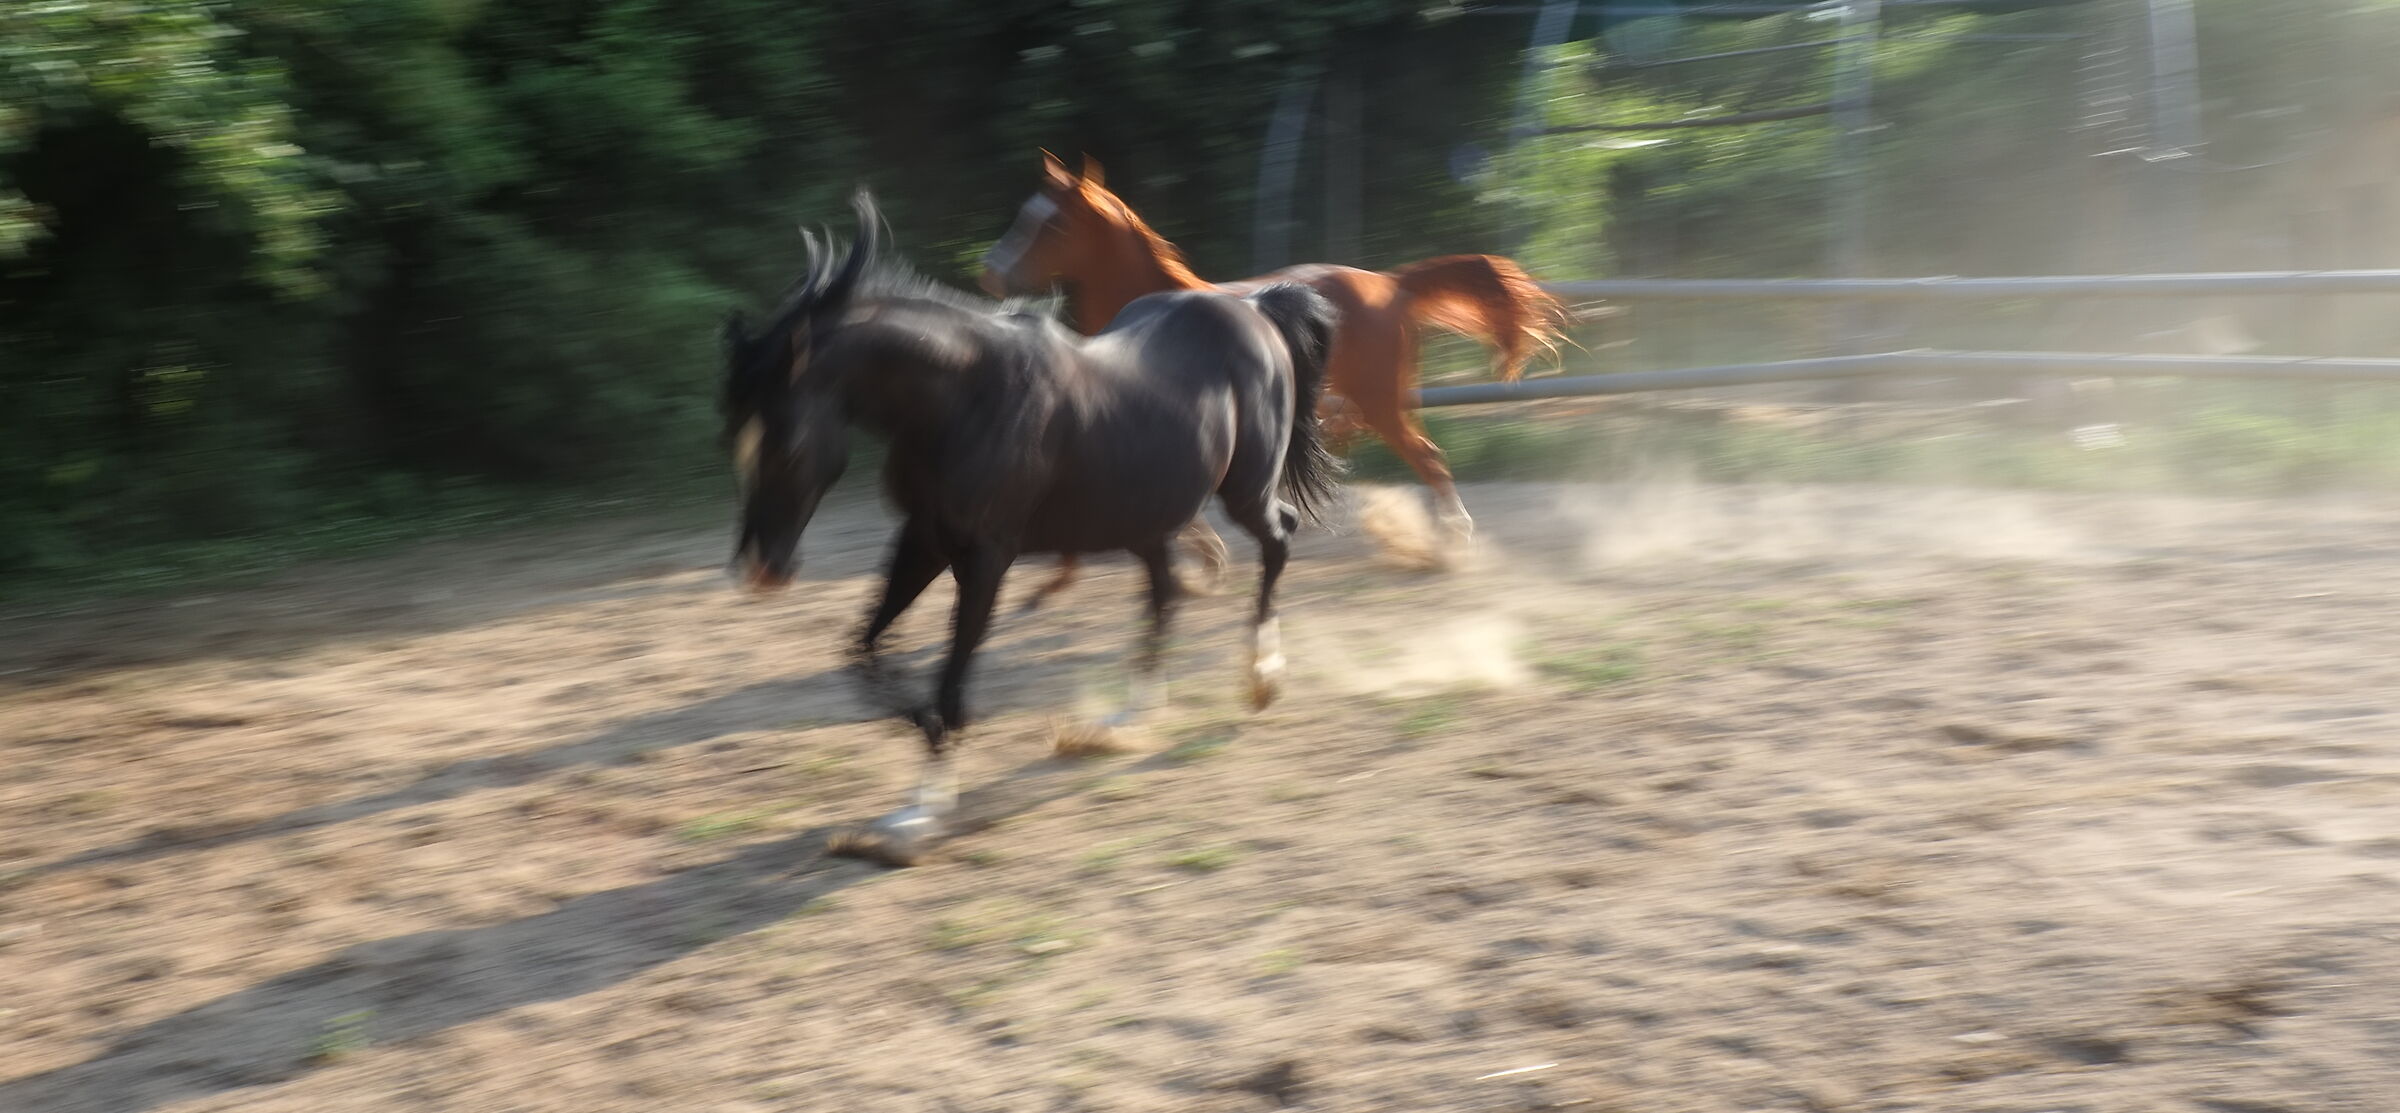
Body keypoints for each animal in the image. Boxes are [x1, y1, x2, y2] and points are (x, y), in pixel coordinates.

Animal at [721, 190, 1341, 866]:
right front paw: (915, 783)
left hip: (1244, 489)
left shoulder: (986, 556)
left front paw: (922, 815)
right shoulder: (923, 538)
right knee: (1165, 589)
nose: (761, 568)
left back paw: (1261, 680)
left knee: (1277, 539)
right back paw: (1127, 717)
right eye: (735, 443)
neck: (963, 399)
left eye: (786, 446)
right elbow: (866, 651)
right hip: (1147, 515)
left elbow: (950, 676)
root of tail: (1254, 308)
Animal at [983, 151, 1569, 601]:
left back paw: (1453, 546)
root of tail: (1391, 283)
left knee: (1429, 459)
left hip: (1382, 403)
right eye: (1026, 212)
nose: (991, 272)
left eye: (1053, 223)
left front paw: (1208, 562)